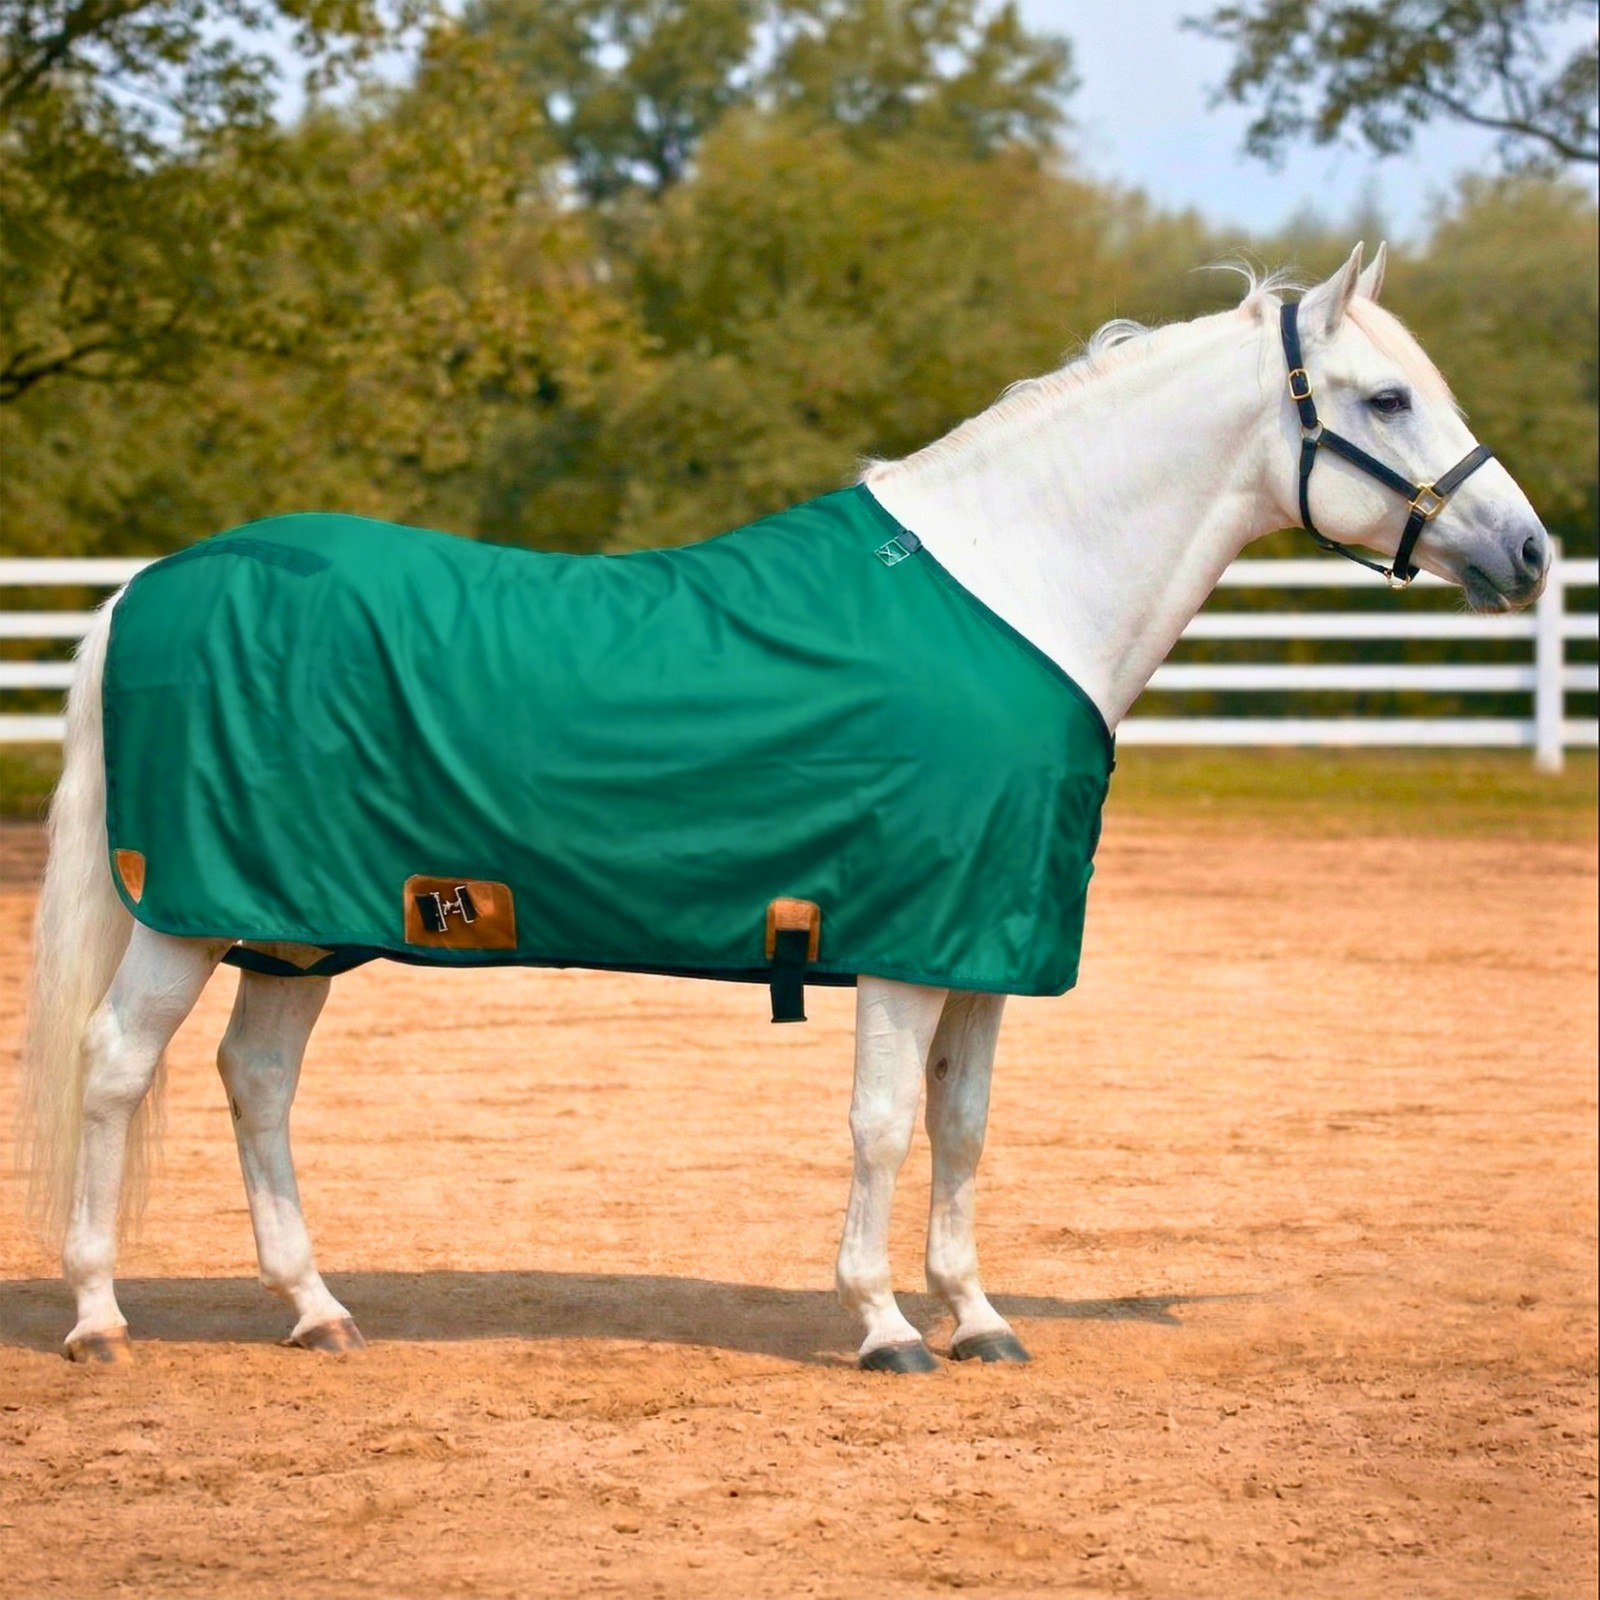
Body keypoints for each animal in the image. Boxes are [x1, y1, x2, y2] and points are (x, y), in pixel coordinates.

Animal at [17, 244, 1550, 1372]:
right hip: (187, 916)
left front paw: (978, 1318)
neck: (1020, 585)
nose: (1529, 551)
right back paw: (98, 1318)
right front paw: (882, 1327)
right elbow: (881, 1125)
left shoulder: (982, 945)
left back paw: (317, 1310)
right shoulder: (907, 940)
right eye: (1386, 399)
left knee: (256, 1082)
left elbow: (963, 1126)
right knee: (116, 1067)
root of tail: (150, 582)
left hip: (295, 922)